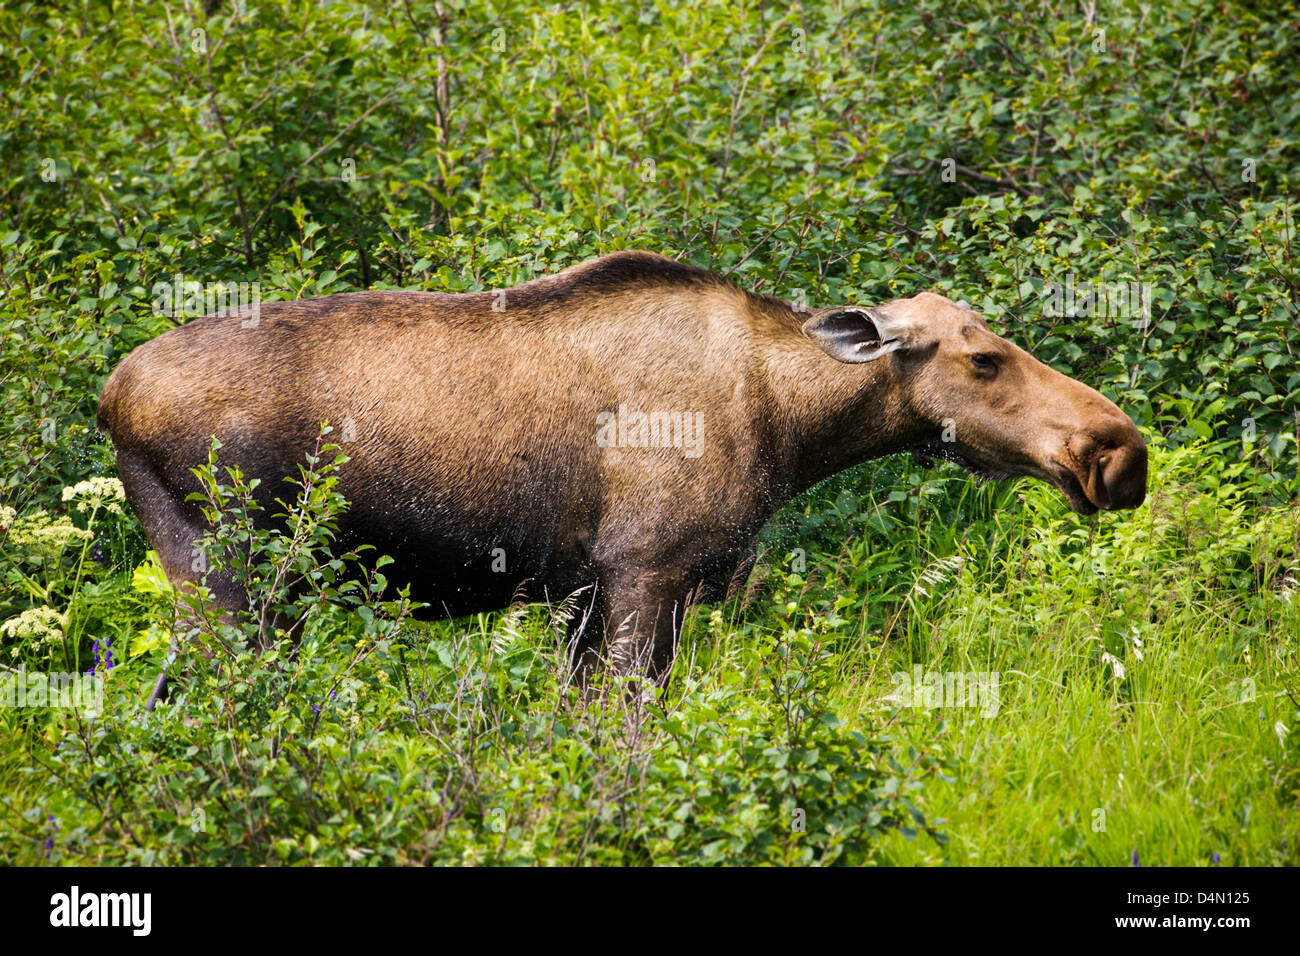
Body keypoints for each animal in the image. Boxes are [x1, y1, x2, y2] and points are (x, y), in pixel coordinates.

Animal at [96, 251, 1144, 686]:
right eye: (984, 360)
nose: (1118, 451)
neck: (791, 433)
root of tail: (109, 398)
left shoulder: (582, 592)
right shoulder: (649, 571)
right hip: (229, 572)